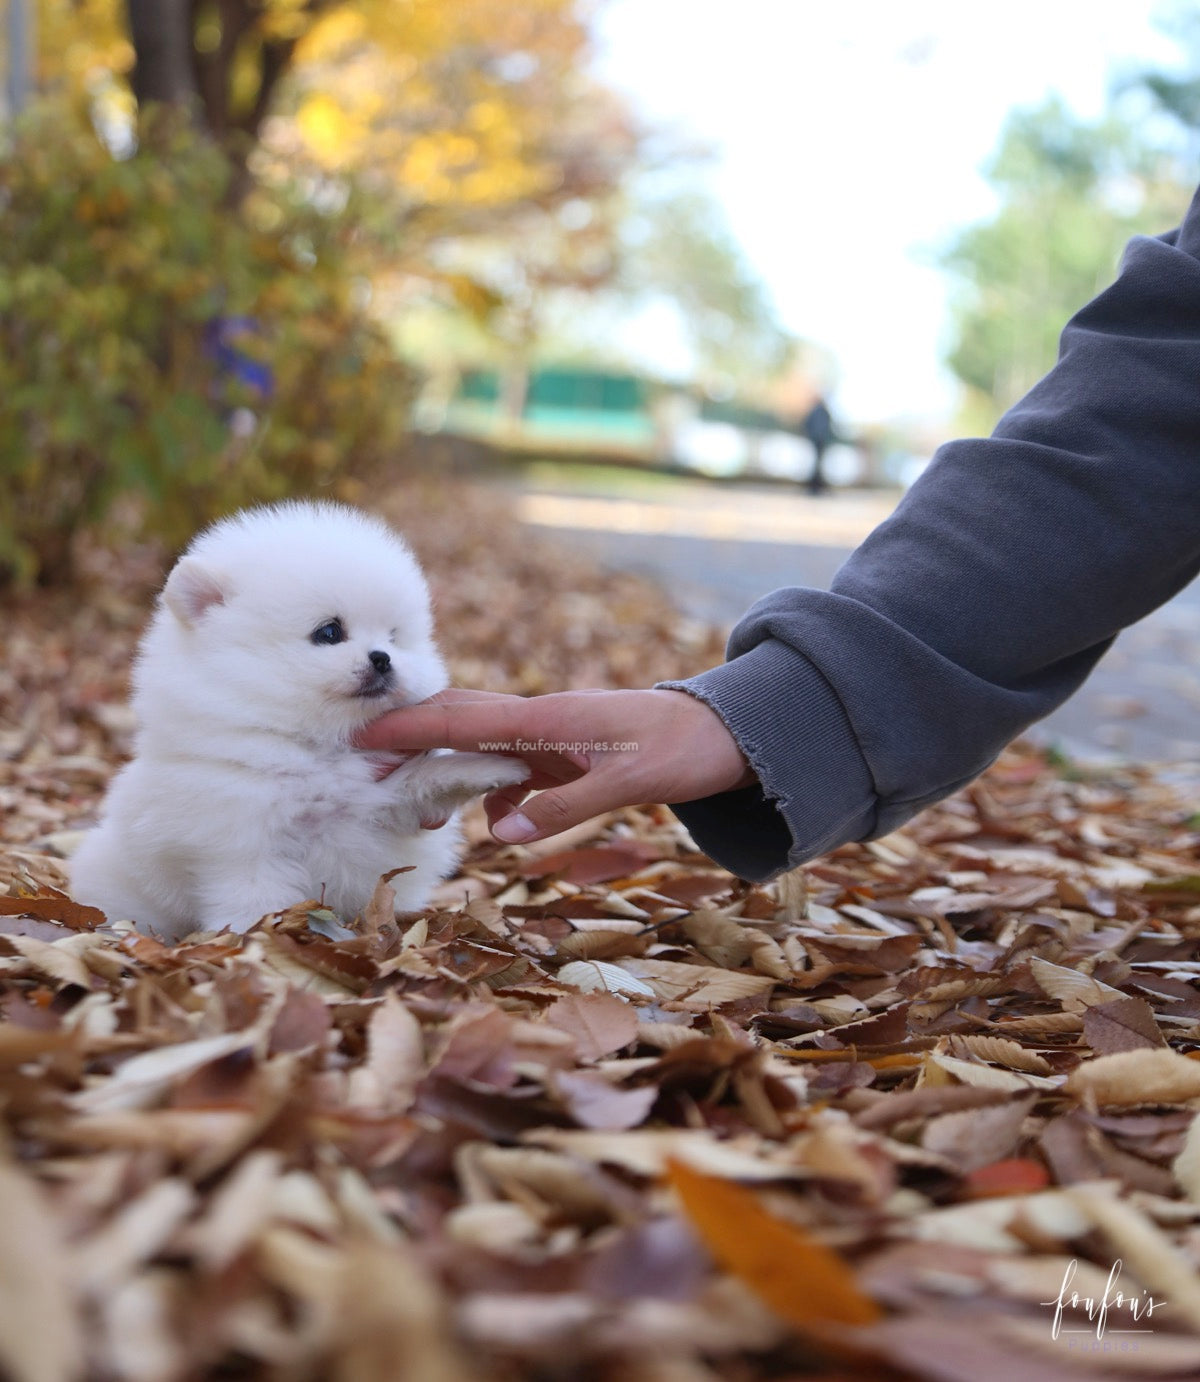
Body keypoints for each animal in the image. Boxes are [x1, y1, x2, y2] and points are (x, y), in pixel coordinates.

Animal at [70, 503, 528, 945]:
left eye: (395, 637)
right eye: (329, 632)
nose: (383, 657)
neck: (317, 749)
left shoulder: (382, 806)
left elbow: (425, 778)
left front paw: (495, 766)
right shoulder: (242, 847)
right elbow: (255, 901)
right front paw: (259, 943)